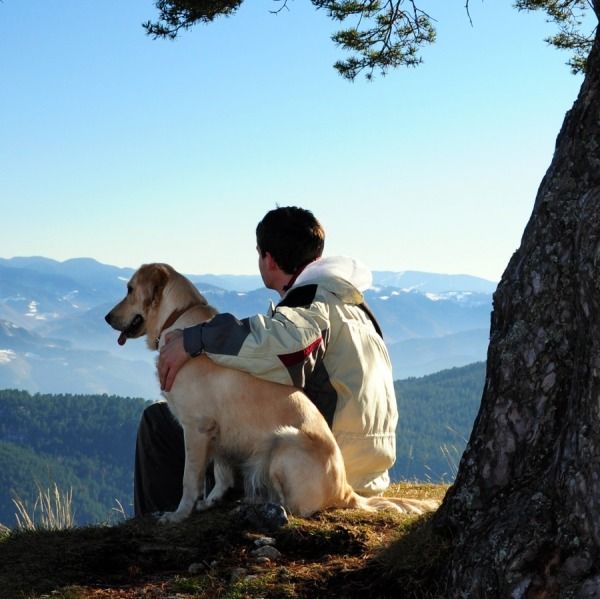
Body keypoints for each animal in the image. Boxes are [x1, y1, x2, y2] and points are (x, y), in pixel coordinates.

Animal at [106, 264, 436, 524]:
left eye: (130, 289)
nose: (107, 318)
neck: (177, 318)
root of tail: (347, 490)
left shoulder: (197, 428)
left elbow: (189, 480)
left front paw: (178, 514)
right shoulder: (219, 431)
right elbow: (222, 473)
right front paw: (210, 501)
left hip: (283, 443)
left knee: (298, 508)